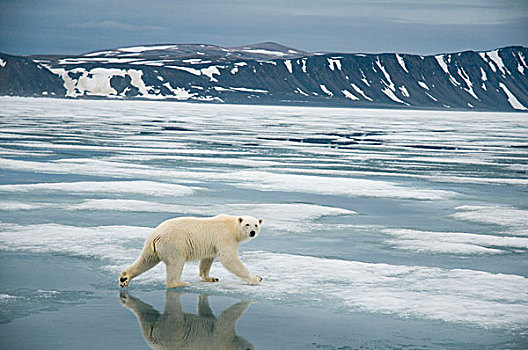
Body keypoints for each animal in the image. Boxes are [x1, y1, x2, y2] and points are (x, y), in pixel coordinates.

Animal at [118, 215, 262, 288]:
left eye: (256, 225)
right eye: (247, 224)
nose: (252, 232)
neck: (232, 227)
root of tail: (155, 235)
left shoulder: (213, 245)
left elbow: (207, 260)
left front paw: (210, 278)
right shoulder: (225, 236)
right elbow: (229, 259)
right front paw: (256, 278)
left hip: (152, 248)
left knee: (146, 260)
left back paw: (124, 278)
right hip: (174, 243)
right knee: (176, 263)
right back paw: (179, 283)